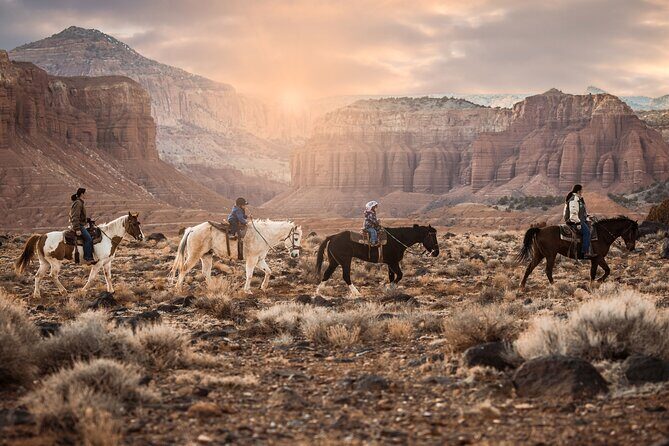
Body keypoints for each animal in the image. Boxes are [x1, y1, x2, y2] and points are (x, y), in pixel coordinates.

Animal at [14, 213, 145, 299]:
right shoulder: (98, 263)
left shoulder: (107, 262)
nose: (141, 237)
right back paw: (63, 292)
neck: (108, 237)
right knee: (53, 275)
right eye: (134, 223)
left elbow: (108, 276)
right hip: (55, 262)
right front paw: (83, 291)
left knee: (37, 276)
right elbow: (91, 278)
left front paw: (111, 291)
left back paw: (37, 295)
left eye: (139, 223)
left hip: (44, 262)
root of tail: (42, 236)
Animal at [169, 219, 302, 294]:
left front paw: (264, 287)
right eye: (296, 238)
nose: (295, 254)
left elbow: (269, 271)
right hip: (194, 255)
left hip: (206, 256)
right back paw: (178, 288)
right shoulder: (252, 259)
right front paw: (247, 290)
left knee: (206, 273)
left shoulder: (260, 260)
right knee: (184, 269)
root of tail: (191, 230)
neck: (263, 234)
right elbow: (249, 275)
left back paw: (213, 287)